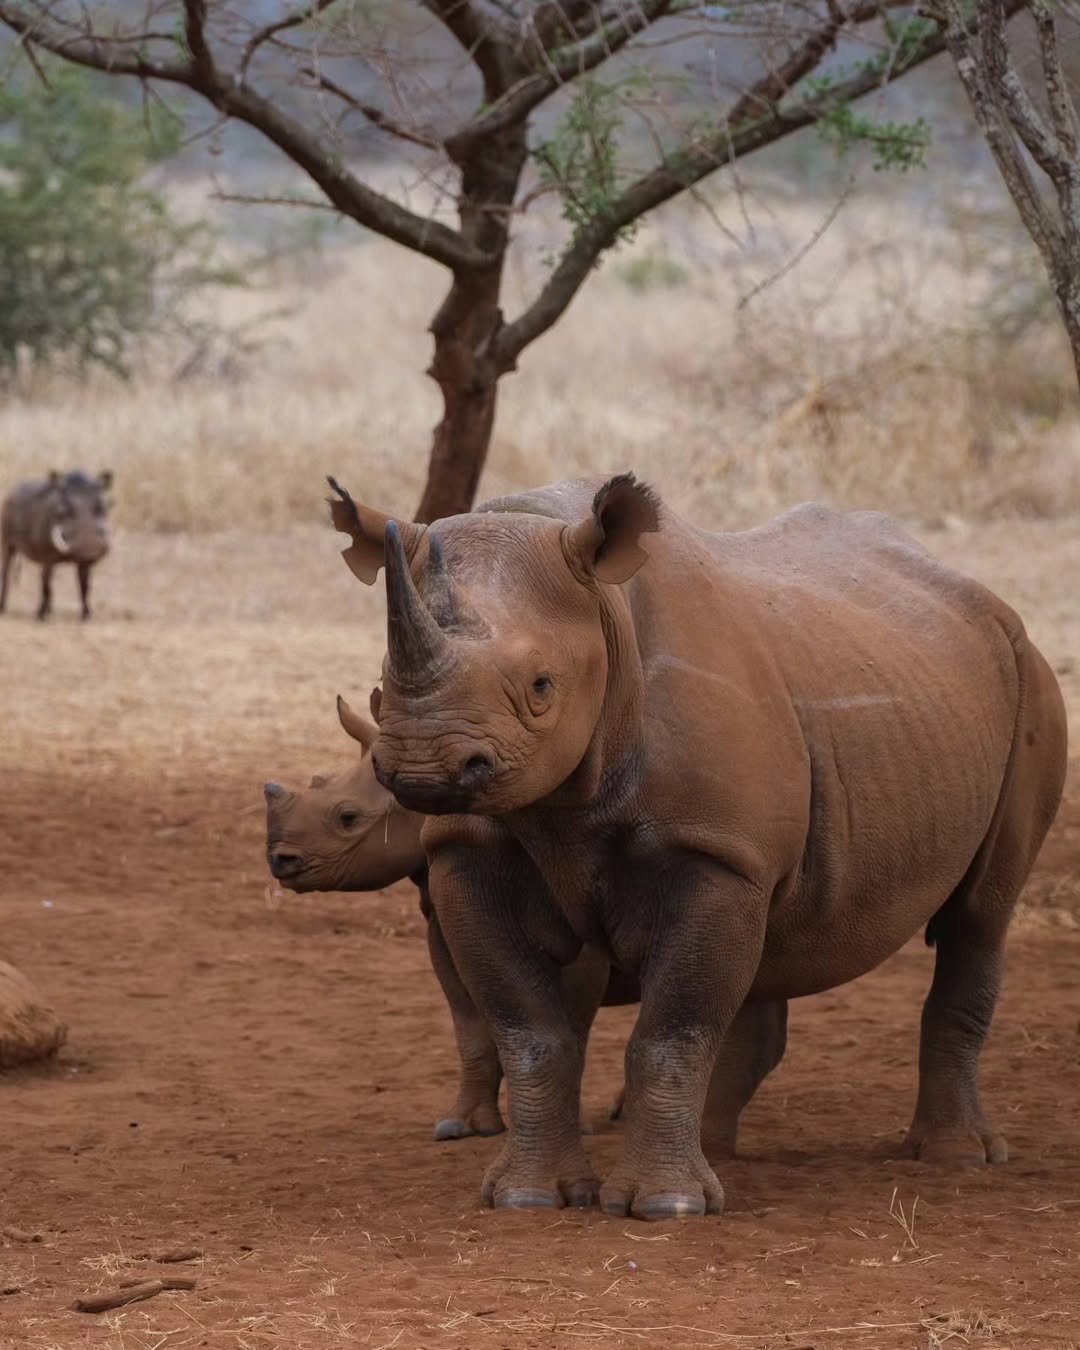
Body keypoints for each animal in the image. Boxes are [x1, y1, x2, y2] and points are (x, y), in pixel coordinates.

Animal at [0, 471, 113, 620]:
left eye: (101, 507)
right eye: (64, 510)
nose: (90, 550)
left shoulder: (83, 564)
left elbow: (84, 587)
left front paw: (86, 616)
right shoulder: (47, 559)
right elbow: (46, 586)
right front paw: (41, 616)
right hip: (7, 544)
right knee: (6, 574)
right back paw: (3, 608)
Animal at [328, 474, 1067, 1222]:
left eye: (541, 687)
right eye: (383, 680)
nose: (424, 768)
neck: (604, 612)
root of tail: (984, 598)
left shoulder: (712, 854)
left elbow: (672, 1030)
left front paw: (665, 1207)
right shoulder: (466, 854)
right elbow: (529, 1031)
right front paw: (529, 1197)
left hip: (1030, 678)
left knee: (979, 916)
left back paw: (956, 1157)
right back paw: (721, 1151)